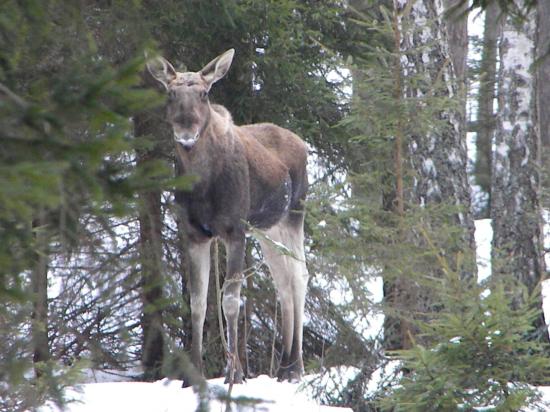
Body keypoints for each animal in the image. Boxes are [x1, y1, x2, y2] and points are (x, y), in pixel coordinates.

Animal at [147, 50, 310, 384]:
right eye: (170, 93)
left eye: (204, 93)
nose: (186, 133)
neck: (202, 184)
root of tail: (302, 143)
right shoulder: (194, 233)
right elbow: (198, 303)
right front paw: (193, 374)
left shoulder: (234, 230)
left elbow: (230, 301)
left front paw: (234, 373)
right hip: (267, 229)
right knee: (283, 282)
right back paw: (283, 365)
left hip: (294, 214)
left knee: (300, 276)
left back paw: (297, 366)